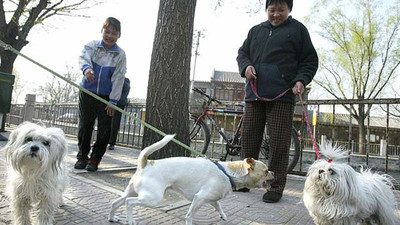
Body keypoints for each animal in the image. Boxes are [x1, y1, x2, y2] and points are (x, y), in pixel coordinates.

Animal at [108, 134, 274, 224]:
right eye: (266, 171)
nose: (273, 172)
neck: (228, 173)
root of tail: (146, 163)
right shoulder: (199, 198)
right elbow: (189, 215)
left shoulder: (212, 198)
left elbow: (219, 206)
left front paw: (223, 216)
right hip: (152, 198)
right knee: (129, 203)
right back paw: (130, 220)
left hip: (132, 192)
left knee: (117, 202)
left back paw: (112, 218)